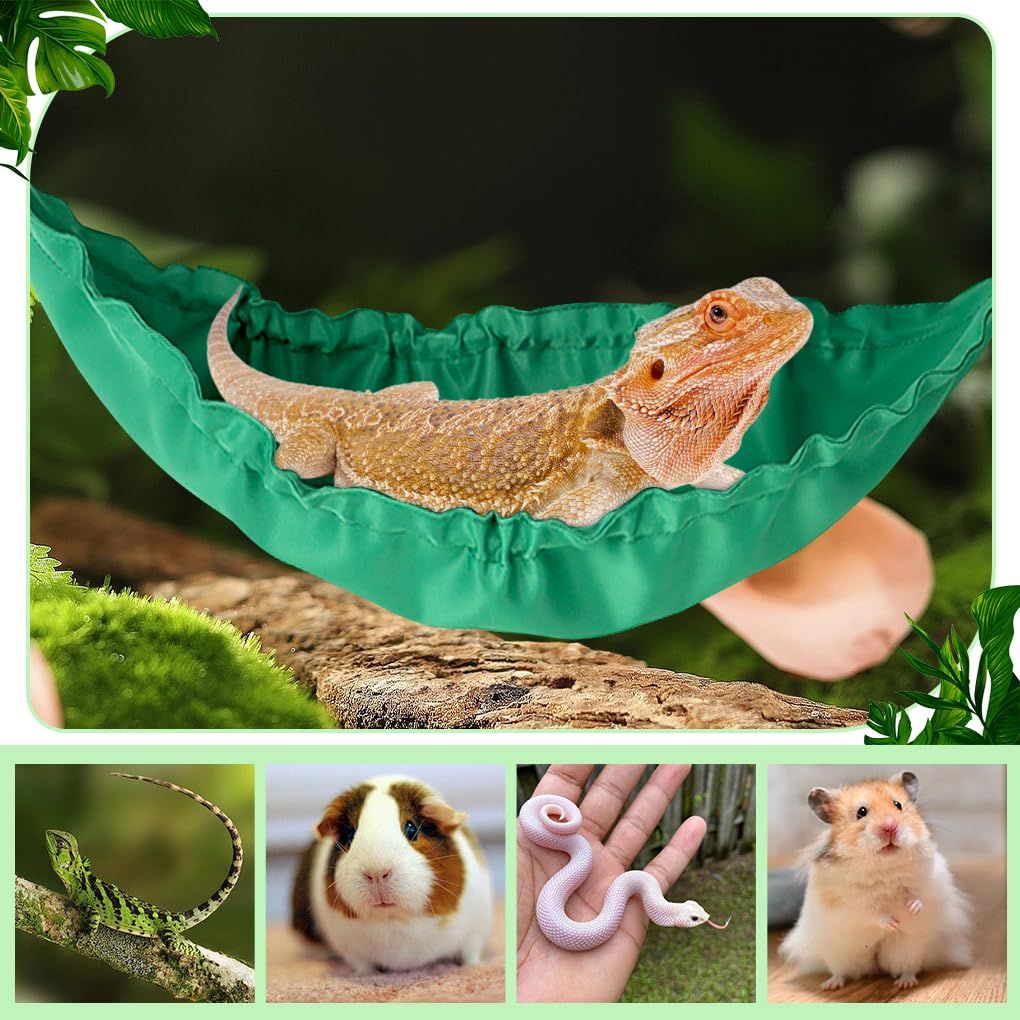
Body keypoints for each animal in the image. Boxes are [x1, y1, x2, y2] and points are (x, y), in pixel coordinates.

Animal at [291, 774, 492, 973]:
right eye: (350, 835)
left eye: (411, 829)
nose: (377, 873)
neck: (394, 919)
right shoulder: (352, 950)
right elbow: (363, 966)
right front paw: (365, 976)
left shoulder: (475, 932)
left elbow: (470, 953)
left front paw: (474, 967)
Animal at [779, 771, 971, 991]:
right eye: (861, 812)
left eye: (898, 805)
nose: (890, 827)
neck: (883, 865)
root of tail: (876, 964)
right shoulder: (849, 902)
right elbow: (872, 912)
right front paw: (892, 923)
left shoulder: (928, 880)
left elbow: (918, 896)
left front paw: (912, 910)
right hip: (840, 954)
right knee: (840, 971)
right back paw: (831, 985)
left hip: (909, 949)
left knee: (909, 967)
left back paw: (905, 983)